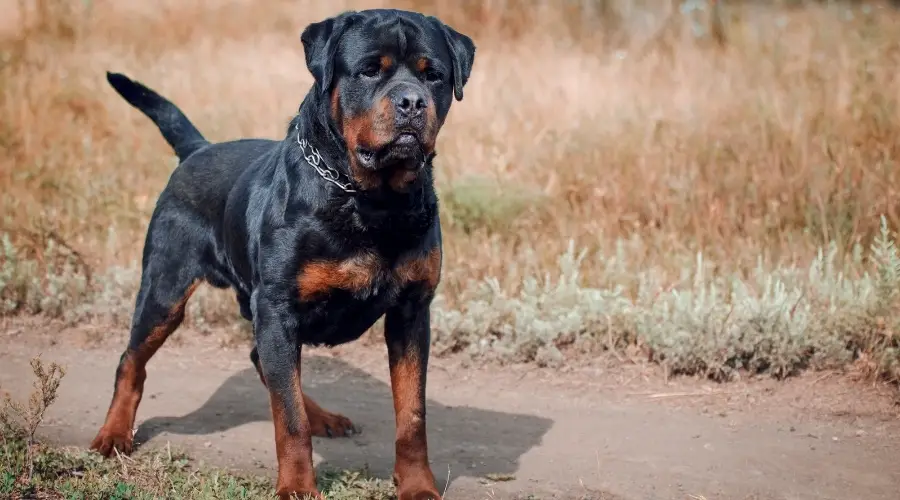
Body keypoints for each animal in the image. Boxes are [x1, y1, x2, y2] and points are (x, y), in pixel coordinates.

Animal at [89, 8, 474, 500]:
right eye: (370, 69)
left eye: (434, 75)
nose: (412, 101)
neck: (369, 199)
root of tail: (198, 150)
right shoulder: (277, 308)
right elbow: (288, 420)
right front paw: (297, 487)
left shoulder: (411, 311)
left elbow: (411, 415)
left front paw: (417, 485)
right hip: (165, 290)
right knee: (132, 360)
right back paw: (114, 433)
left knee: (266, 363)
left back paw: (323, 415)